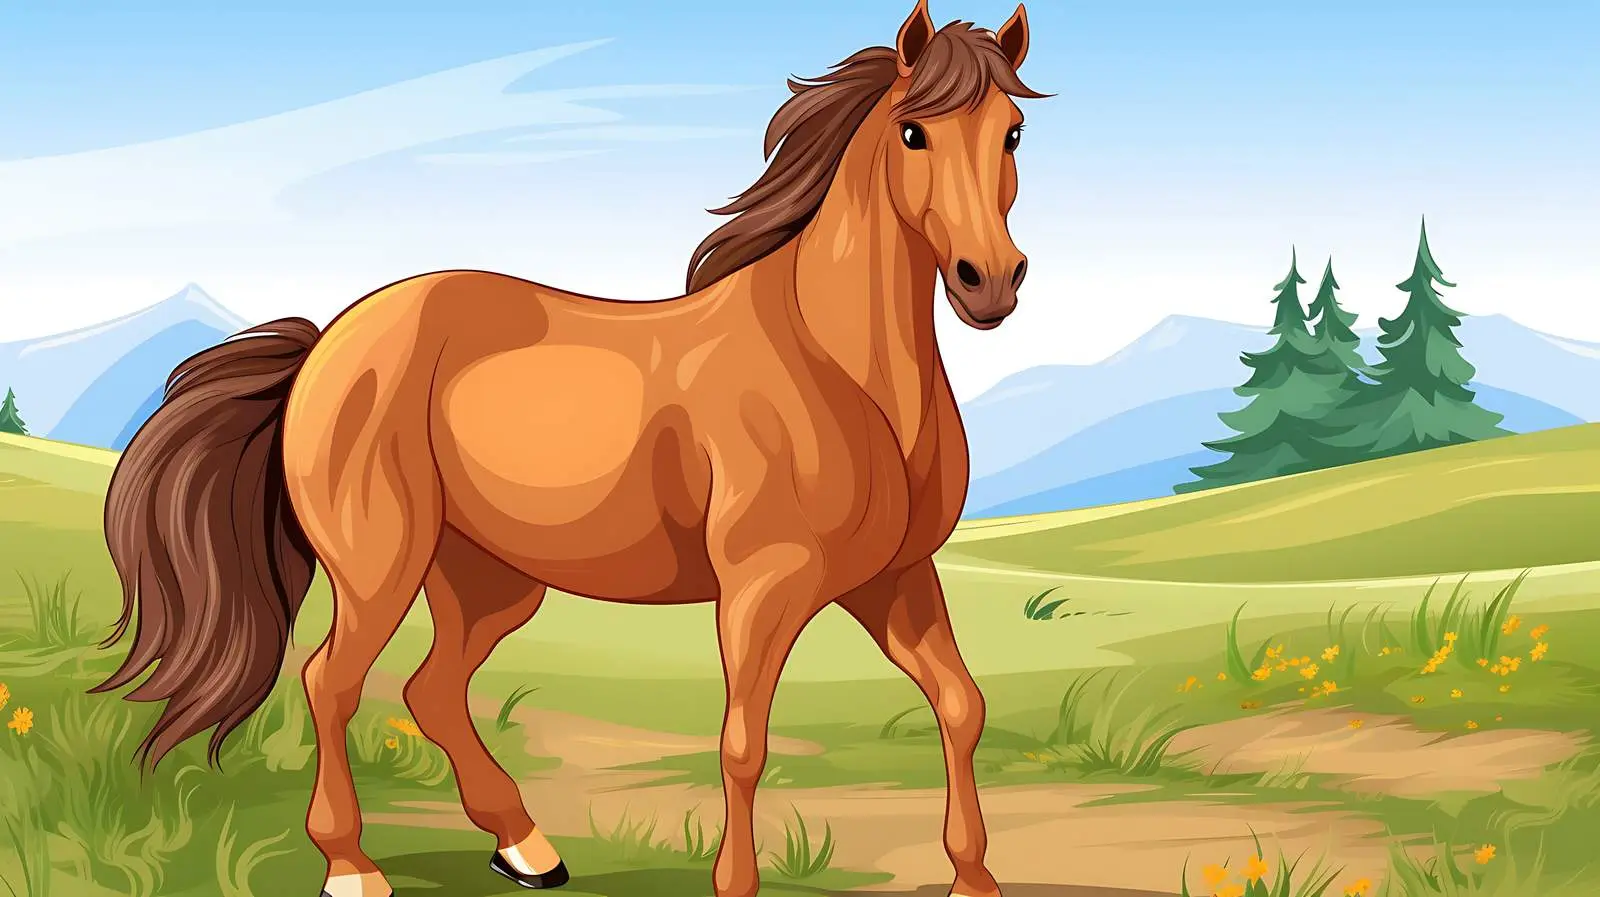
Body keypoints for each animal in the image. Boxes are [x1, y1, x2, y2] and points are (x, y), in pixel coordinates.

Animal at [94, 3, 1044, 895]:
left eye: (1011, 131)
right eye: (913, 131)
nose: (990, 282)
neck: (836, 365)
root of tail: (329, 340)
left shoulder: (895, 578)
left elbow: (961, 705)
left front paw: (974, 877)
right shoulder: (761, 587)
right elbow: (744, 741)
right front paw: (736, 882)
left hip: (485, 578)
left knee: (431, 689)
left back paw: (527, 849)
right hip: (380, 564)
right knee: (332, 680)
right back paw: (352, 866)